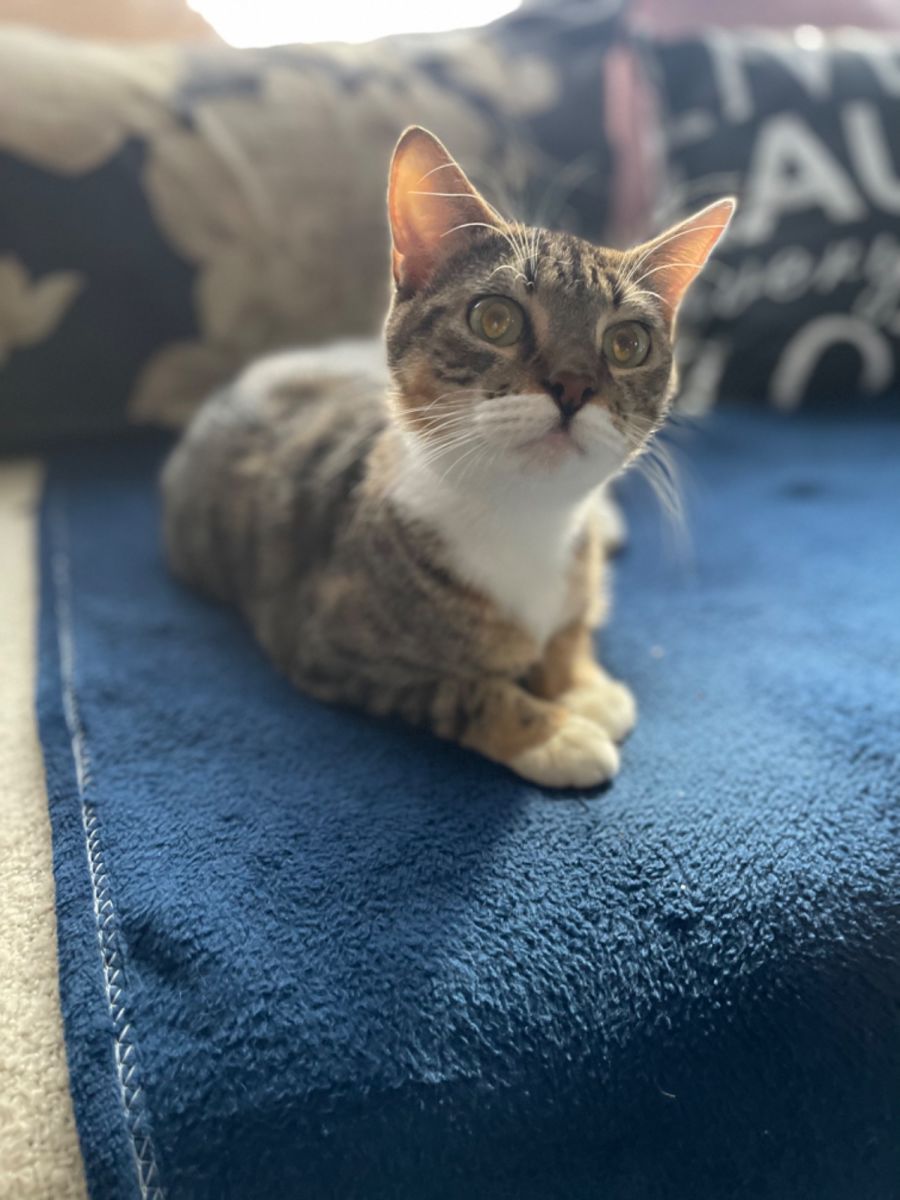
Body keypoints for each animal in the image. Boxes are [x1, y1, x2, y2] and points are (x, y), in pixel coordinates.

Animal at [162, 126, 733, 789]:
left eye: (627, 344)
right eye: (495, 319)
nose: (572, 385)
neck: (526, 519)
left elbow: (569, 628)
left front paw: (579, 684)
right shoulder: (327, 644)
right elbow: (458, 689)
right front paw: (553, 732)